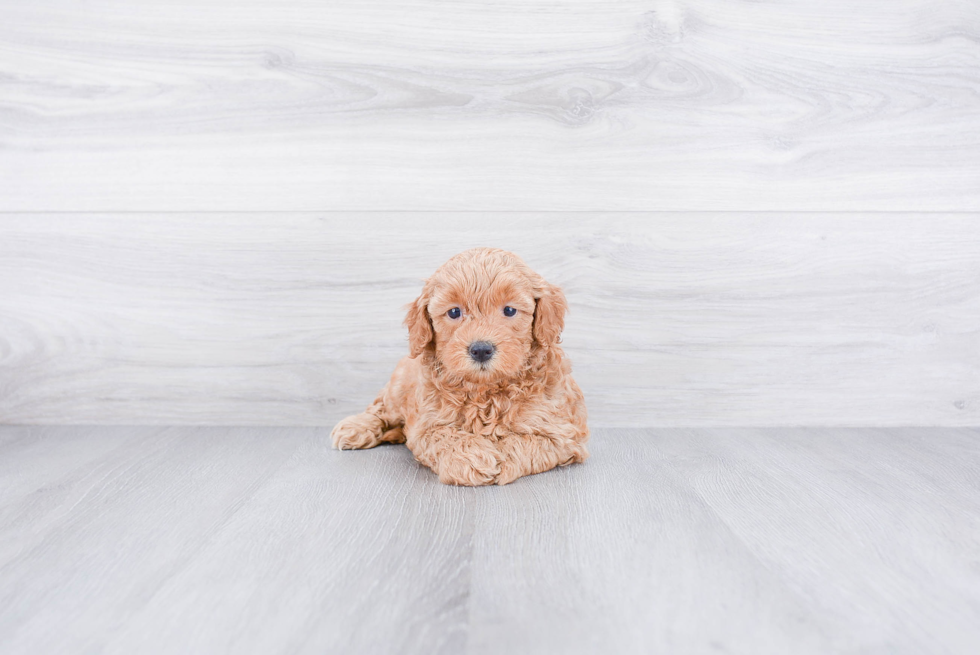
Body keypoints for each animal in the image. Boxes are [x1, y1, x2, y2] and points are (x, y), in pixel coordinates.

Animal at [330, 249, 588, 484]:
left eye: (510, 310)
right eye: (454, 312)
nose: (481, 349)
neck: (485, 391)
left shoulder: (562, 434)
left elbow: (523, 441)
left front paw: (500, 455)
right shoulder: (427, 424)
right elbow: (446, 436)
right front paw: (473, 458)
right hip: (398, 389)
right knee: (380, 409)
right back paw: (355, 427)